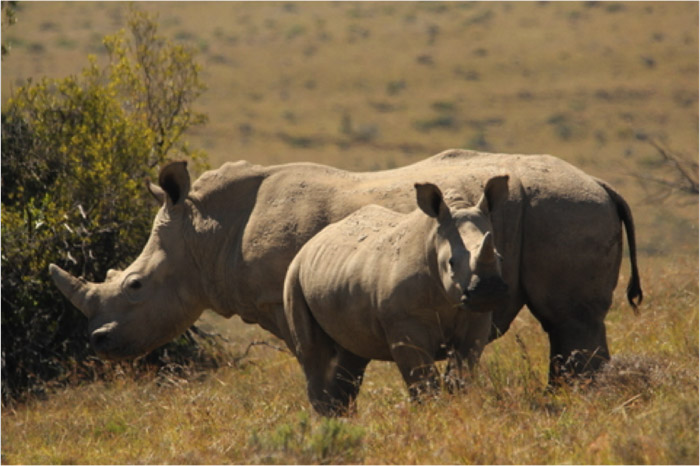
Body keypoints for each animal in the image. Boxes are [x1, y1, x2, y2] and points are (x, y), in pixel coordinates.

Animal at [49, 149, 640, 386]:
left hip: (564, 208)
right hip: (561, 208)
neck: (205, 234)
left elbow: (322, 362)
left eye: (135, 285)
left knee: (570, 319)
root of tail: (603, 185)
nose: (98, 343)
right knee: (573, 324)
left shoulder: (285, 296)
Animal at [284, 176, 508, 416]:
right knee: (314, 353)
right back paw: (326, 419)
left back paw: (343, 419)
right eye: (451, 263)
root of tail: (310, 243)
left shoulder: (476, 317)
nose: (488, 291)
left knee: (352, 352)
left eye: (500, 258)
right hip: (294, 276)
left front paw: (459, 406)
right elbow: (423, 380)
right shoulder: (405, 324)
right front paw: (432, 413)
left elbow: (462, 373)